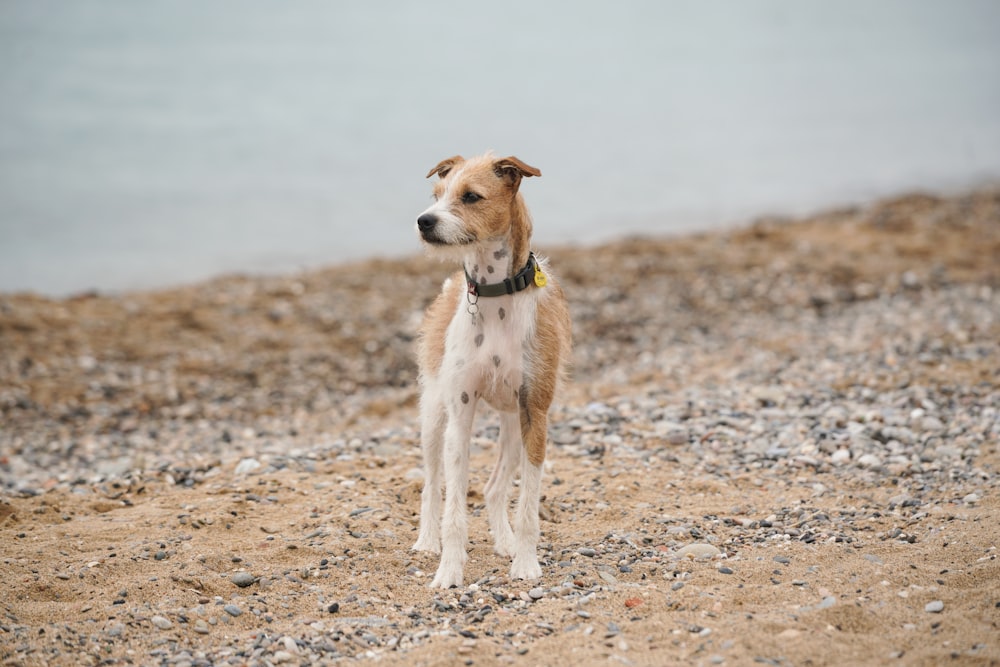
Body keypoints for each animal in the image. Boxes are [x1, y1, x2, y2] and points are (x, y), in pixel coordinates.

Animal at [412, 153, 572, 588]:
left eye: (471, 196)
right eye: (436, 195)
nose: (424, 221)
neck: (495, 295)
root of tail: (453, 282)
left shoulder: (535, 414)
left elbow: (528, 505)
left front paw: (526, 562)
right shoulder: (460, 415)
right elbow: (453, 510)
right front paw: (449, 570)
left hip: (513, 427)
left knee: (494, 488)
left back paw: (506, 541)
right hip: (434, 416)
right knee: (431, 484)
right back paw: (426, 541)